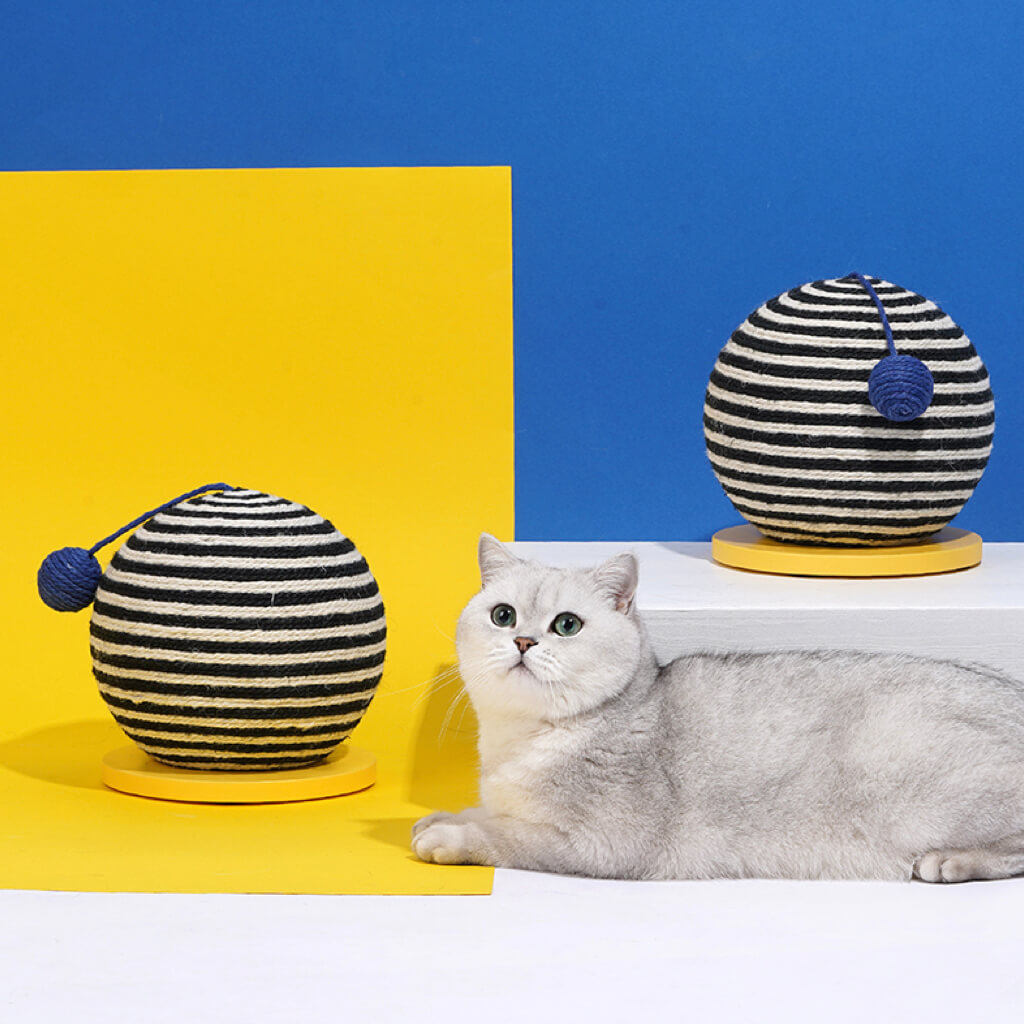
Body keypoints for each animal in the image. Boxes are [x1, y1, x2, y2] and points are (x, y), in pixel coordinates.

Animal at [411, 536, 1024, 880]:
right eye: (503, 616)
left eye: (566, 625)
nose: (522, 642)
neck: (522, 740)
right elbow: (487, 812)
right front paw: (446, 816)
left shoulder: (600, 843)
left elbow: (508, 835)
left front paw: (450, 836)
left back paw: (950, 862)